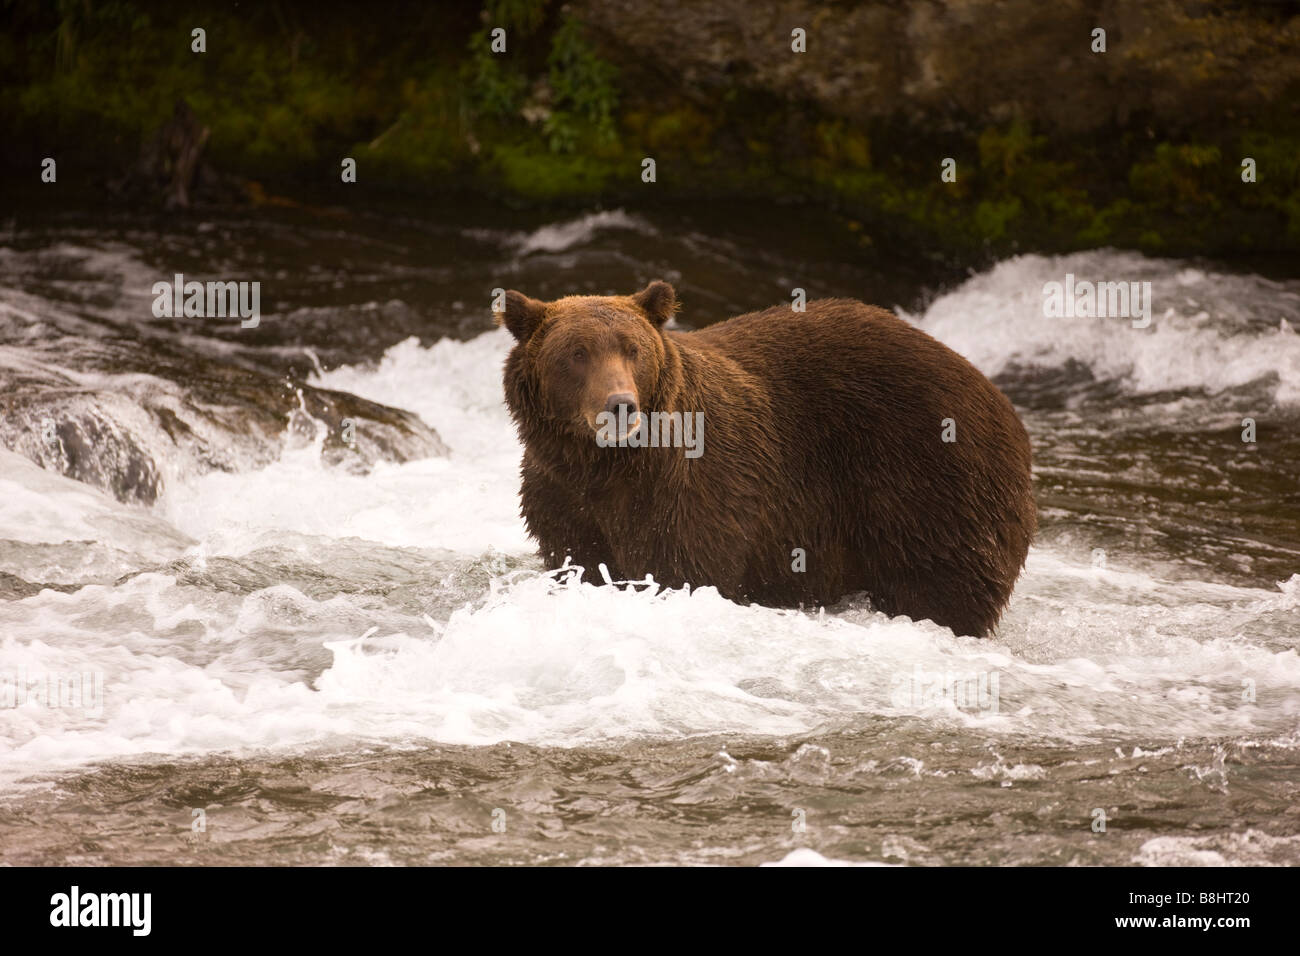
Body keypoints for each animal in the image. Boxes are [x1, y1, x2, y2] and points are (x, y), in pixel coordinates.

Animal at [496, 278, 1034, 634]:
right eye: (577, 353)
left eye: (632, 349)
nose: (620, 404)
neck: (608, 465)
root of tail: (998, 398)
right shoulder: (560, 494)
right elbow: (578, 558)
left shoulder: (694, 490)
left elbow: (684, 568)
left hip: (928, 479)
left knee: (943, 577)